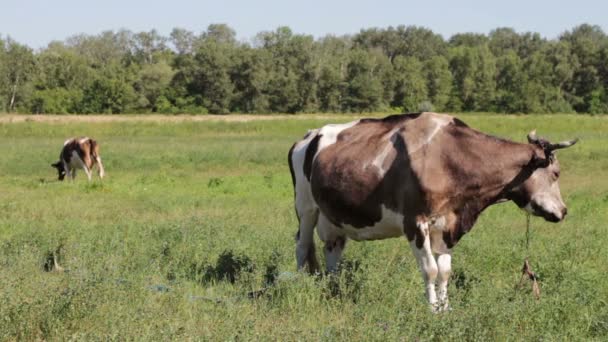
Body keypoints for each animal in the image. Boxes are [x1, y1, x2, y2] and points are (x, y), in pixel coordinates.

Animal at [288, 113, 576, 312]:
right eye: (556, 173)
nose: (563, 211)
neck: (450, 159)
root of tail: (308, 136)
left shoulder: (448, 224)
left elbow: (445, 270)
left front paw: (445, 308)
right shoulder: (415, 222)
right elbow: (430, 270)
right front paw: (431, 309)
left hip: (333, 216)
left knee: (332, 251)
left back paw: (334, 290)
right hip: (305, 206)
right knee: (302, 246)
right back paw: (302, 286)